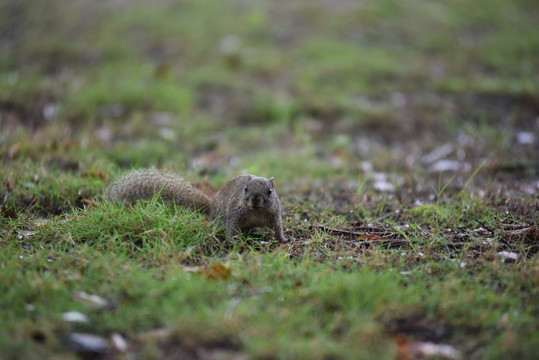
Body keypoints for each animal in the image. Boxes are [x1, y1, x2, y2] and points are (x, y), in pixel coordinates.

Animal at [105, 169, 286, 242]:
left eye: (270, 191)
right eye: (246, 189)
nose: (255, 199)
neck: (256, 211)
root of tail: (212, 206)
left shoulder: (274, 215)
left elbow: (278, 228)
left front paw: (283, 240)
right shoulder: (235, 213)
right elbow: (231, 226)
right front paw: (234, 241)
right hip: (219, 217)